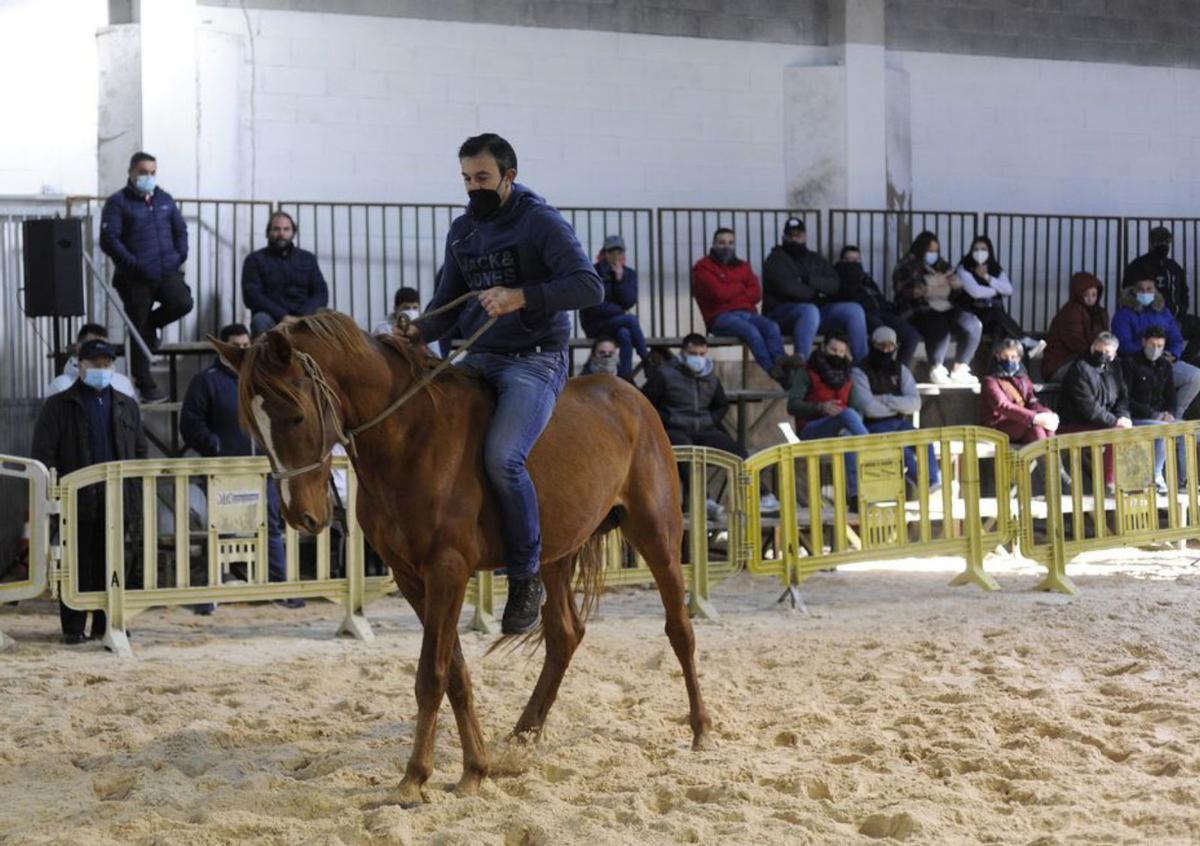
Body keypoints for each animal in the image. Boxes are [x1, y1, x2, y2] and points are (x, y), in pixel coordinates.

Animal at [213, 314, 710, 801]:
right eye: (253, 428)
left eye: (296, 416)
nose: (301, 516)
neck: (409, 438)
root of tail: (630, 395)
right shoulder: (411, 577)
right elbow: (454, 671)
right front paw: (475, 768)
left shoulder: (447, 570)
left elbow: (431, 673)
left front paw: (414, 778)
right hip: (555, 553)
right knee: (565, 634)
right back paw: (522, 737)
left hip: (657, 534)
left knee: (679, 630)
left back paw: (701, 730)